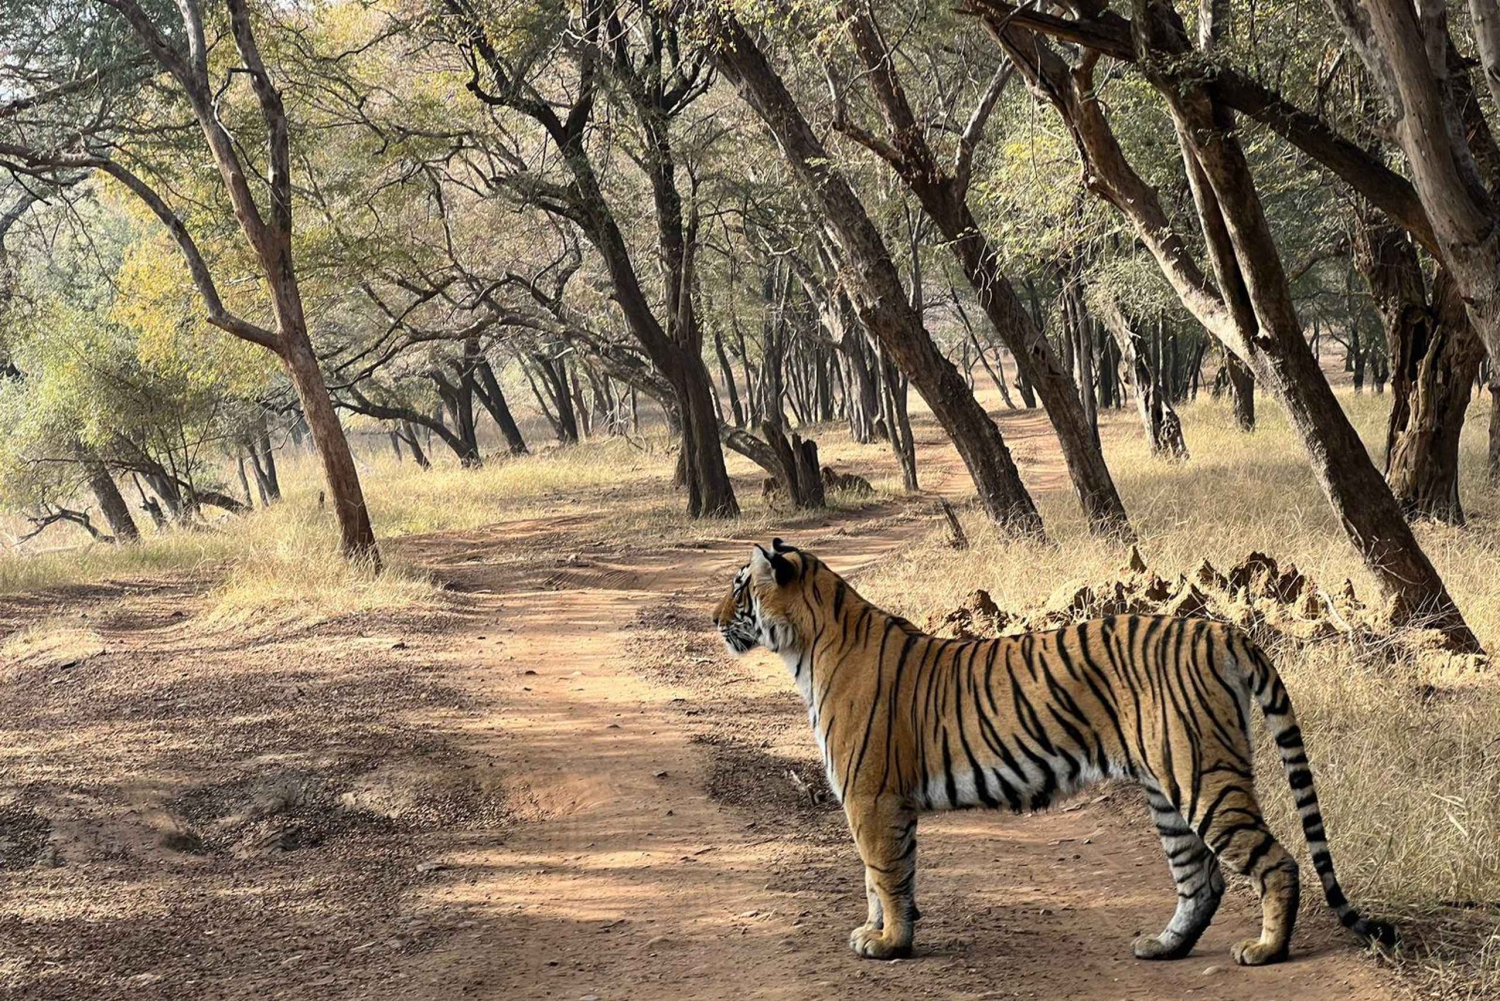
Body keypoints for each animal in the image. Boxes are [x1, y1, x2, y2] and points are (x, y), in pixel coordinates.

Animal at [712, 539, 1395, 966]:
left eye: (740, 588)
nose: (714, 618)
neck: (807, 645)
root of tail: (1218, 629)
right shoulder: (880, 802)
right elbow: (883, 876)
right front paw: (881, 933)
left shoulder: (870, 797)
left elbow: (882, 874)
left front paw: (888, 944)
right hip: (1166, 788)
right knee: (1200, 879)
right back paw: (1163, 946)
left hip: (1202, 777)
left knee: (1275, 862)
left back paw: (1266, 951)